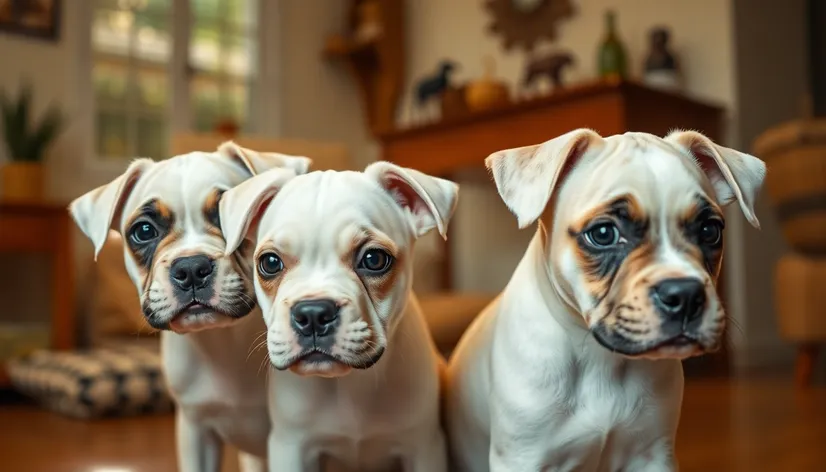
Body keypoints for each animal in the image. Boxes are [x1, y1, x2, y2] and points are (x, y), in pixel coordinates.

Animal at [217, 163, 458, 472]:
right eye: (269, 263)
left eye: (374, 259)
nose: (313, 313)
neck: (347, 383)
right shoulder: (291, 447)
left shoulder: (424, 449)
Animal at [448, 130, 764, 472]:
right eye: (602, 233)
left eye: (710, 230)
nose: (684, 295)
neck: (601, 360)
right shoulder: (523, 458)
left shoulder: (653, 453)